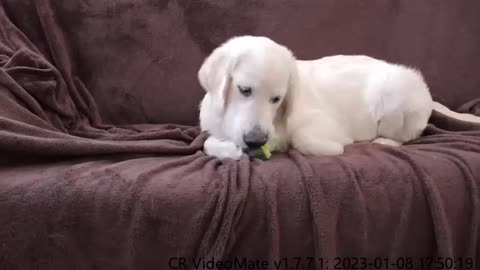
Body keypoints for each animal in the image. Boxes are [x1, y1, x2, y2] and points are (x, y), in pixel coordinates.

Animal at [199, 34, 436, 159]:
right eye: (244, 90)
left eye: (277, 99)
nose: (257, 141)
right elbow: (207, 143)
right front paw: (229, 150)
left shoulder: (323, 123)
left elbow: (301, 138)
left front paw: (338, 146)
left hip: (394, 93)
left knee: (404, 137)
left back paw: (383, 141)